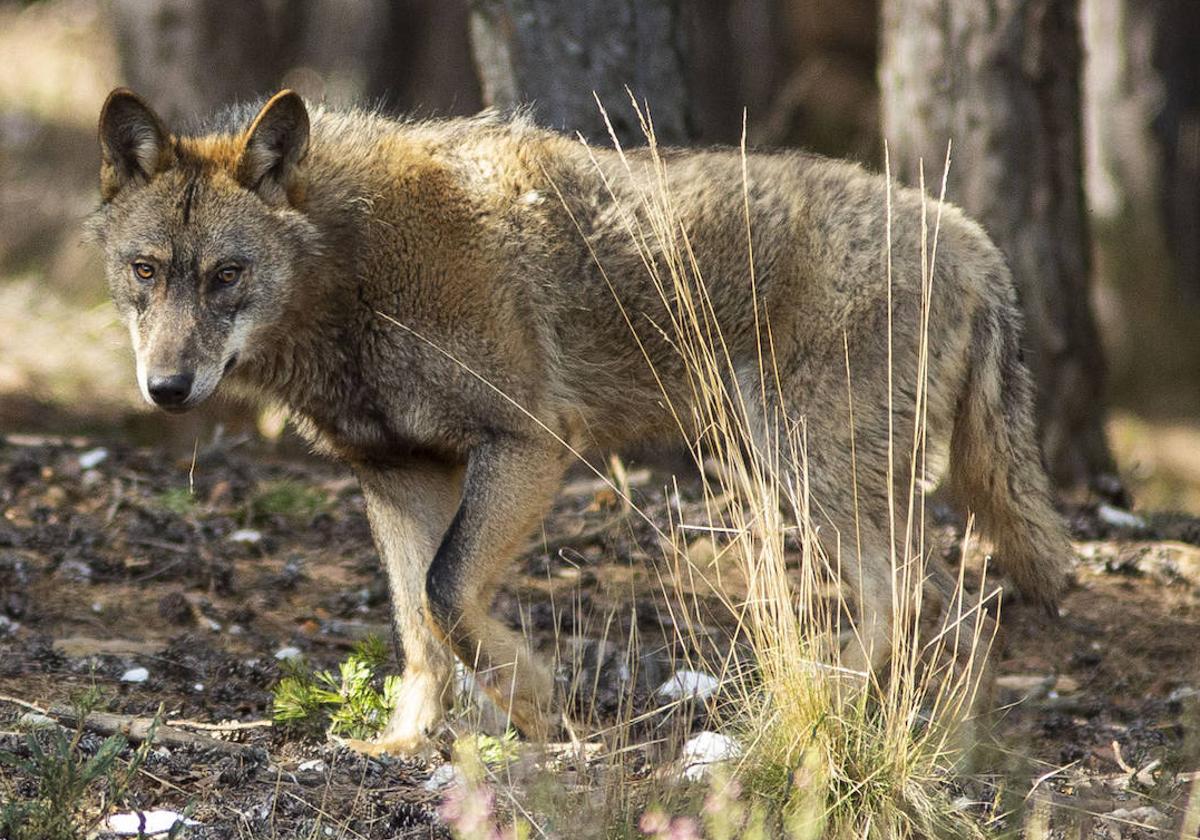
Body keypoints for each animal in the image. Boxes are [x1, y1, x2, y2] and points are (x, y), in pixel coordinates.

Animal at [88, 88, 1075, 758]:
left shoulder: (529, 444)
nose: (166, 388)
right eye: (146, 271)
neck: (356, 268)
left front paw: (533, 703)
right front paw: (407, 744)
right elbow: (418, 628)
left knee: (922, 601)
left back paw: (826, 711)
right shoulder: (399, 474)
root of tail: (976, 243)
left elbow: (448, 597)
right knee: (951, 611)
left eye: (226, 275)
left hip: (805, 471)